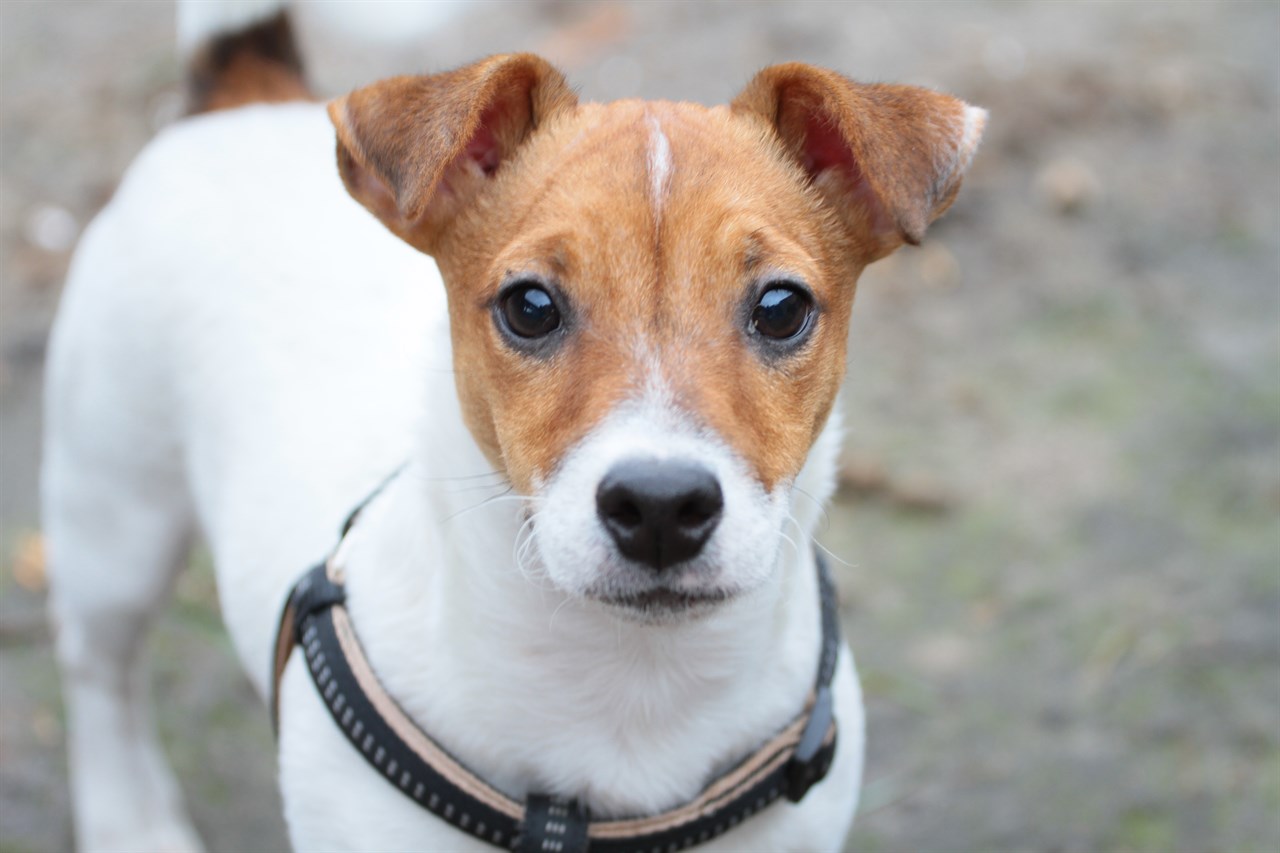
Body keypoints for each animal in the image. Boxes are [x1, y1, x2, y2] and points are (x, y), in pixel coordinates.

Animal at [37, 3, 977, 845]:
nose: (661, 505)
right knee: (96, 673)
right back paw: (131, 821)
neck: (630, 690)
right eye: (530, 306)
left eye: (781, 308)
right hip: (114, 517)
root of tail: (242, 96)